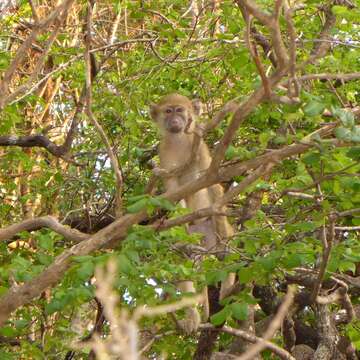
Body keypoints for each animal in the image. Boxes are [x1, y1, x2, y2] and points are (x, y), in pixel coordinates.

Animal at [150, 94, 236, 334]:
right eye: (168, 111)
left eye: (180, 110)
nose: (175, 121)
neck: (179, 139)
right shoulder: (164, 151)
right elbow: (172, 192)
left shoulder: (199, 146)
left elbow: (212, 181)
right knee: (182, 261)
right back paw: (192, 316)